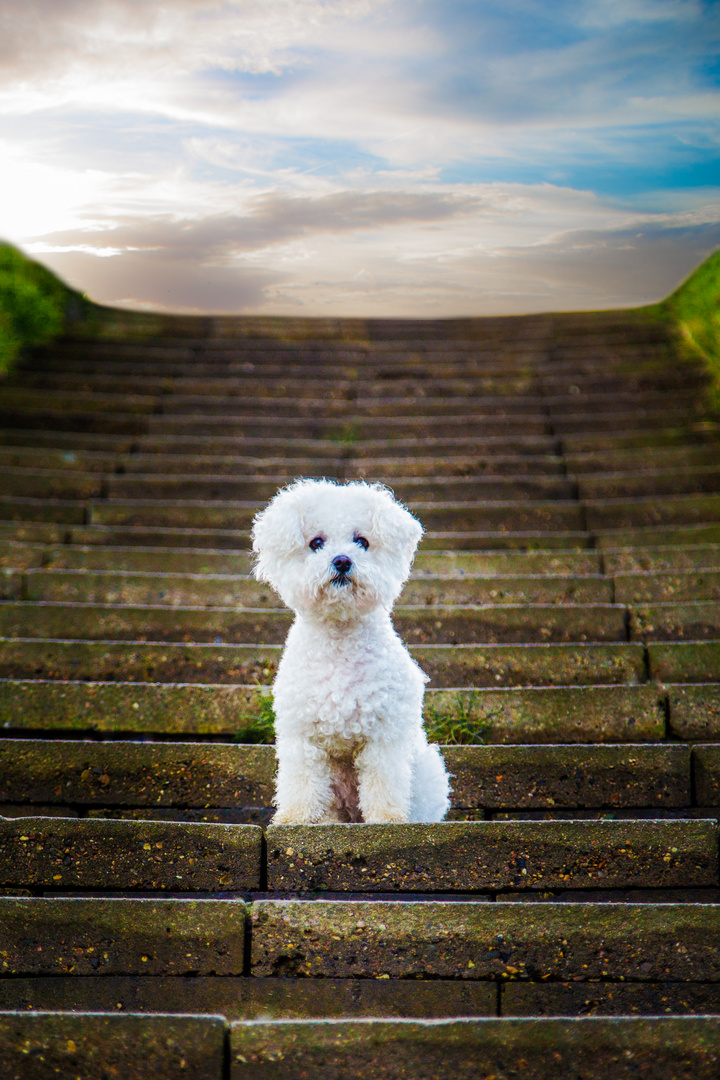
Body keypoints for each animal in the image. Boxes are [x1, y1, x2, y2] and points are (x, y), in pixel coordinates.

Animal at [250, 477, 446, 820]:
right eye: (316, 542)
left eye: (362, 542)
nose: (342, 560)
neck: (339, 640)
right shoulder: (302, 737)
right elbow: (301, 784)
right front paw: (294, 819)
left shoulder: (385, 736)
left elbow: (384, 785)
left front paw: (387, 821)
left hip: (426, 772)